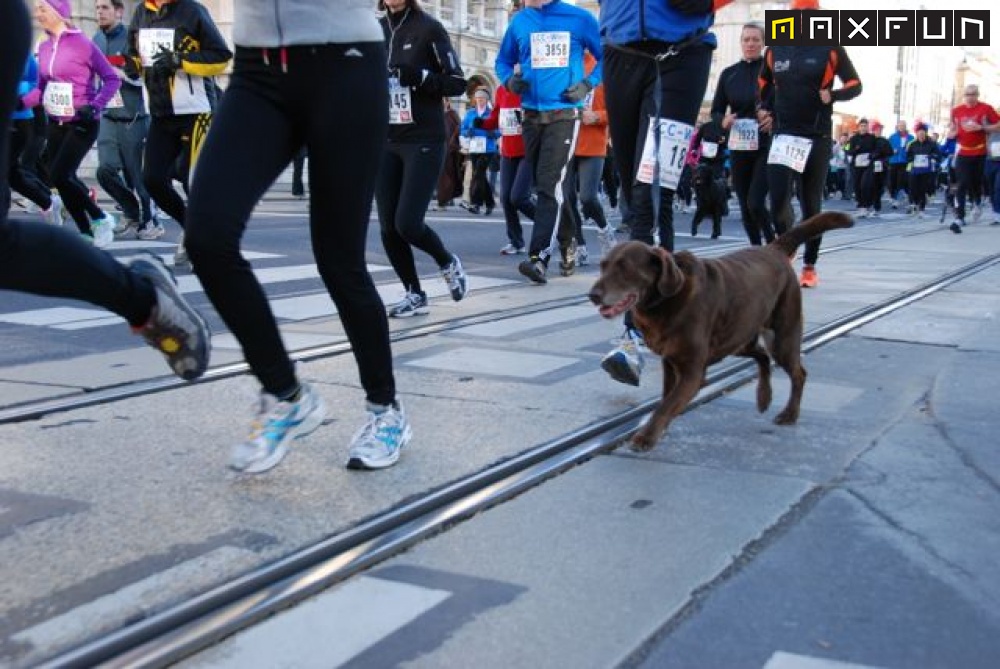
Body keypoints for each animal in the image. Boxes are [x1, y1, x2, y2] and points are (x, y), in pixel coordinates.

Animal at [588, 211, 856, 452]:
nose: (592, 295)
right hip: (738, 338)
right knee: (762, 356)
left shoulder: (693, 372)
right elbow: (665, 399)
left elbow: (666, 404)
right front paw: (658, 430)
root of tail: (774, 249)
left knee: (798, 373)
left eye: (624, 268)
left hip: (782, 336)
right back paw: (764, 397)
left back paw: (789, 413)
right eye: (603, 266)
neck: (664, 302)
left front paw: (646, 437)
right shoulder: (670, 362)